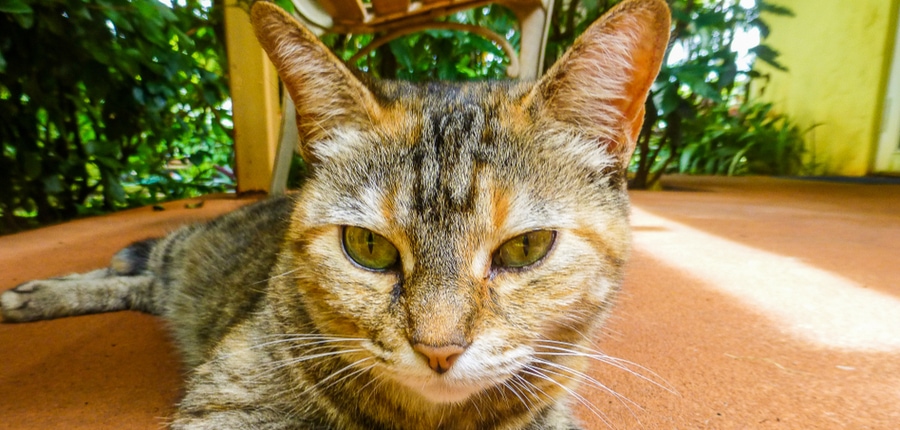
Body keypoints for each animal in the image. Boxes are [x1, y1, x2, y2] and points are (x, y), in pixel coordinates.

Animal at [0, 1, 668, 428]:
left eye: (525, 249)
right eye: (368, 248)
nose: (438, 351)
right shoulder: (226, 404)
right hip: (180, 254)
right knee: (127, 268)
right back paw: (30, 294)